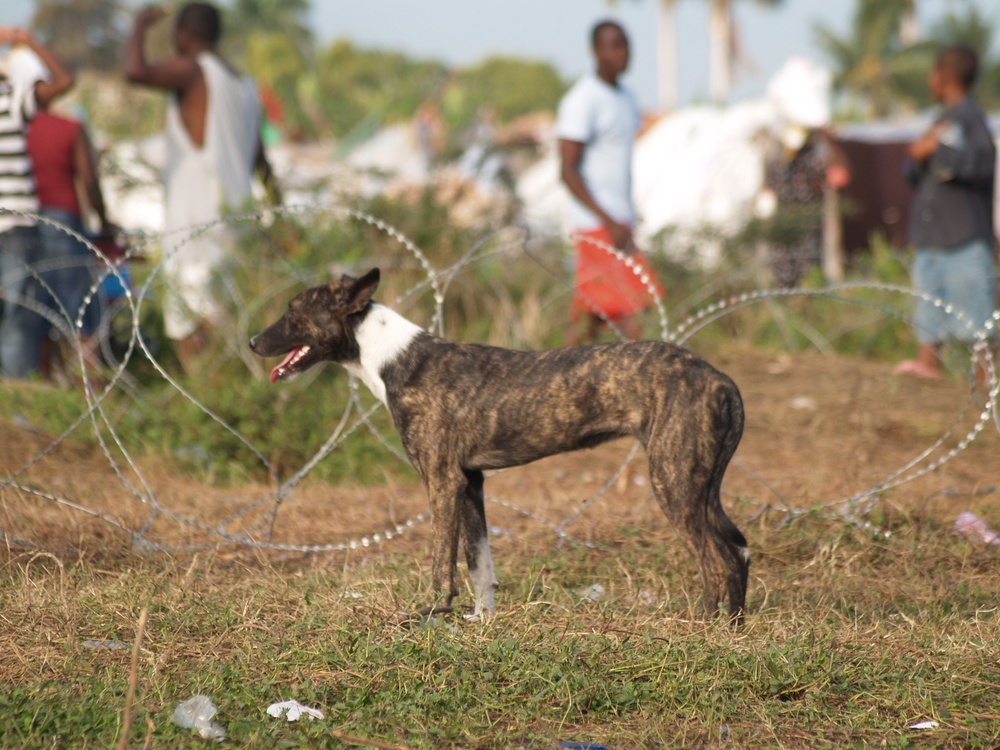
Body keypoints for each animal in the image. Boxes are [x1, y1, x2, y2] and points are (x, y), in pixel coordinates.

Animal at [252, 268, 752, 624]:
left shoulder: (442, 483)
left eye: (293, 312)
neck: (393, 357)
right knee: (738, 552)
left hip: (672, 484)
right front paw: (480, 623)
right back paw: (731, 631)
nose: (253, 341)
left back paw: (701, 629)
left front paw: (433, 614)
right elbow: (480, 568)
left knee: (716, 562)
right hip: (701, 489)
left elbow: (442, 564)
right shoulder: (470, 484)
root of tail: (722, 381)